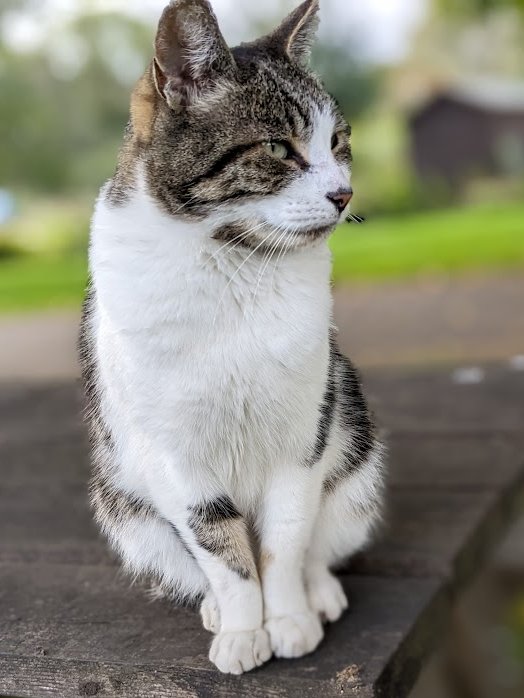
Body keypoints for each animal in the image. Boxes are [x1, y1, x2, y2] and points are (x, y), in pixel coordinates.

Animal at [80, 0, 384, 676]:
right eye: (276, 146)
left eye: (338, 143)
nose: (344, 192)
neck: (236, 270)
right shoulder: (174, 460)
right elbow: (224, 552)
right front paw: (246, 629)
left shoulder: (302, 440)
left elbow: (284, 545)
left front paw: (290, 619)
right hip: (125, 508)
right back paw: (218, 610)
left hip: (355, 465)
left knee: (320, 543)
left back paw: (320, 593)